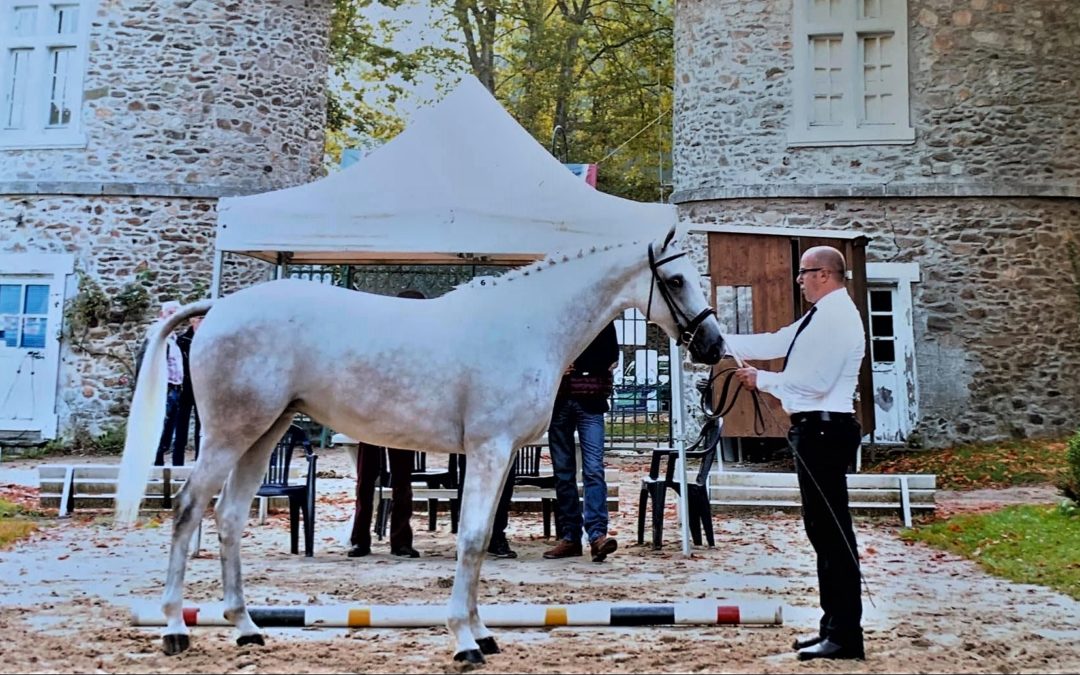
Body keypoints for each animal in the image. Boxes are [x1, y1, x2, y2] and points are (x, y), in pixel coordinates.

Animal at [111, 223, 725, 660]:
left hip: (264, 435)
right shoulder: (489, 450)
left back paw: (246, 628)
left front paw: (482, 633)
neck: (525, 326)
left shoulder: (500, 458)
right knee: (188, 510)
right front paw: (464, 641)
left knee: (230, 518)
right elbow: (471, 539)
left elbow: (481, 539)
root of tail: (218, 309)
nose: (713, 345)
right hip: (227, 435)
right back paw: (174, 629)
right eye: (675, 281)